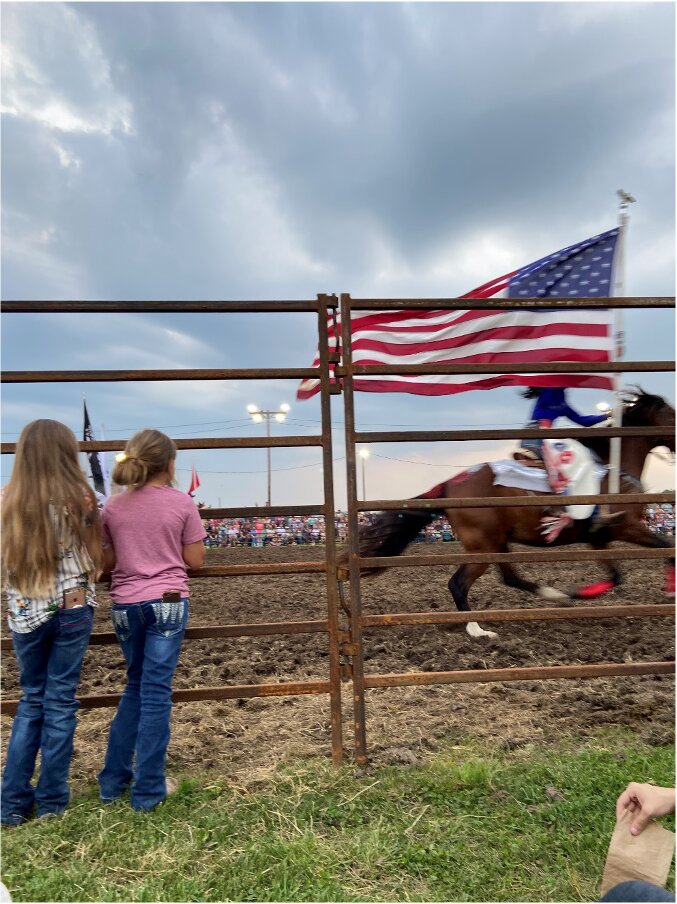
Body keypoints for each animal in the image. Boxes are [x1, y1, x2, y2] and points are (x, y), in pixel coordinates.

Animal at [346, 386, 672, 636]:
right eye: (670, 412)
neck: (614, 471)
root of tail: (451, 484)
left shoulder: (599, 538)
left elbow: (619, 574)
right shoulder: (624, 527)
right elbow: (663, 549)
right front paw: (668, 592)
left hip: (497, 542)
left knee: (509, 578)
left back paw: (553, 595)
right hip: (483, 547)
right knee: (458, 583)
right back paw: (477, 630)